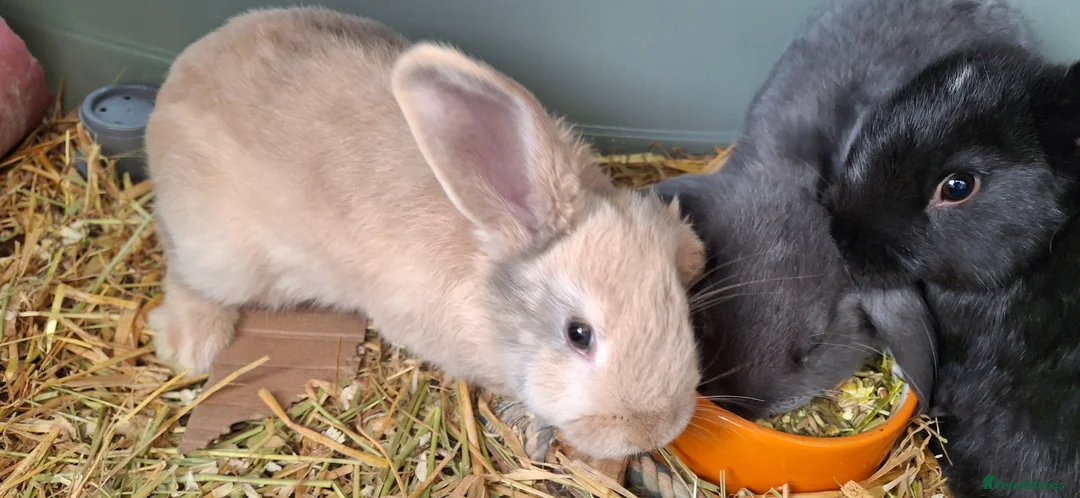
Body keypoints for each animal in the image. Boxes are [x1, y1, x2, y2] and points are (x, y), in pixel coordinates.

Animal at [143, 6, 708, 459]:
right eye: (578, 334)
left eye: (680, 304)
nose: (654, 430)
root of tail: (178, 75)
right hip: (221, 254)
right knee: (183, 272)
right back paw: (191, 343)